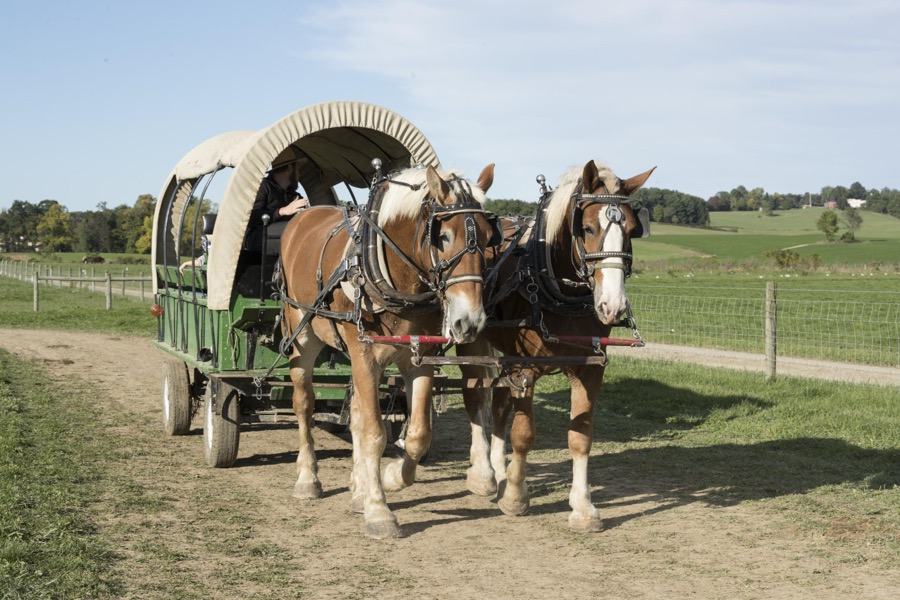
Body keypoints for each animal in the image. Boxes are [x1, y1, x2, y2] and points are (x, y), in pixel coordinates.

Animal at [278, 163, 498, 539]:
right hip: (302, 337)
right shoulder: (366, 358)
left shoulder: (418, 360)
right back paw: (308, 478)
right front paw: (379, 511)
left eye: (487, 237)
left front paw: (391, 477)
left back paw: (357, 488)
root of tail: (304, 216)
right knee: (304, 404)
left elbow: (417, 434)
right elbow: (374, 434)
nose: (469, 321)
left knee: (354, 413)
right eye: (442, 237)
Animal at [457, 159, 654, 532]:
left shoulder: (588, 369)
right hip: (472, 339)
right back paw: (484, 474)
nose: (612, 306)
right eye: (587, 228)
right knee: (475, 395)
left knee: (499, 404)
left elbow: (581, 437)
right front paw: (515, 496)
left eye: (633, 230)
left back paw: (498, 468)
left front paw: (583, 507)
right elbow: (523, 434)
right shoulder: (524, 368)